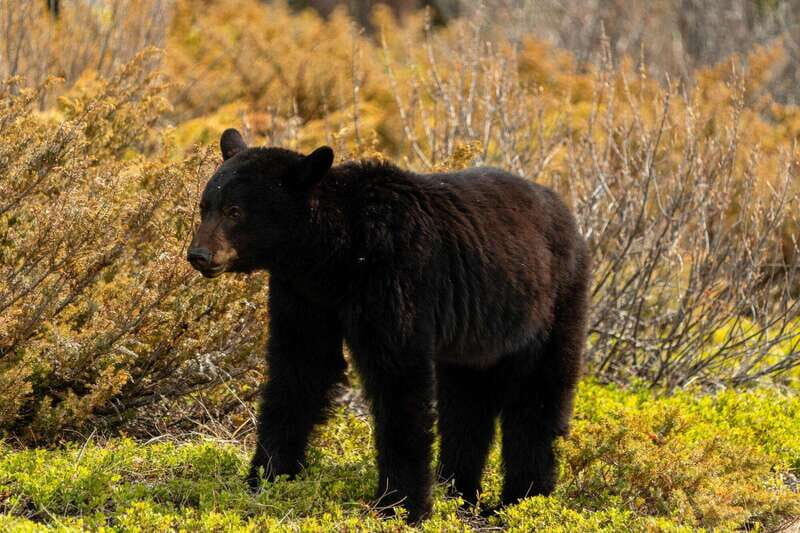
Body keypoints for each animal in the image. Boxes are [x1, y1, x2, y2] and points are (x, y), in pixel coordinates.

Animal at [187, 128, 590, 523]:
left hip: (551, 305)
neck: (335, 254)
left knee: (537, 398)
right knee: (466, 403)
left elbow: (397, 378)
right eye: (205, 205)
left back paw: (522, 500)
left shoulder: (393, 279)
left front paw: (401, 504)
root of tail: (565, 211)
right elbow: (300, 369)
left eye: (235, 211)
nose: (198, 255)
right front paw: (266, 476)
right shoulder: (305, 295)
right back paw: (458, 493)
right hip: (475, 338)